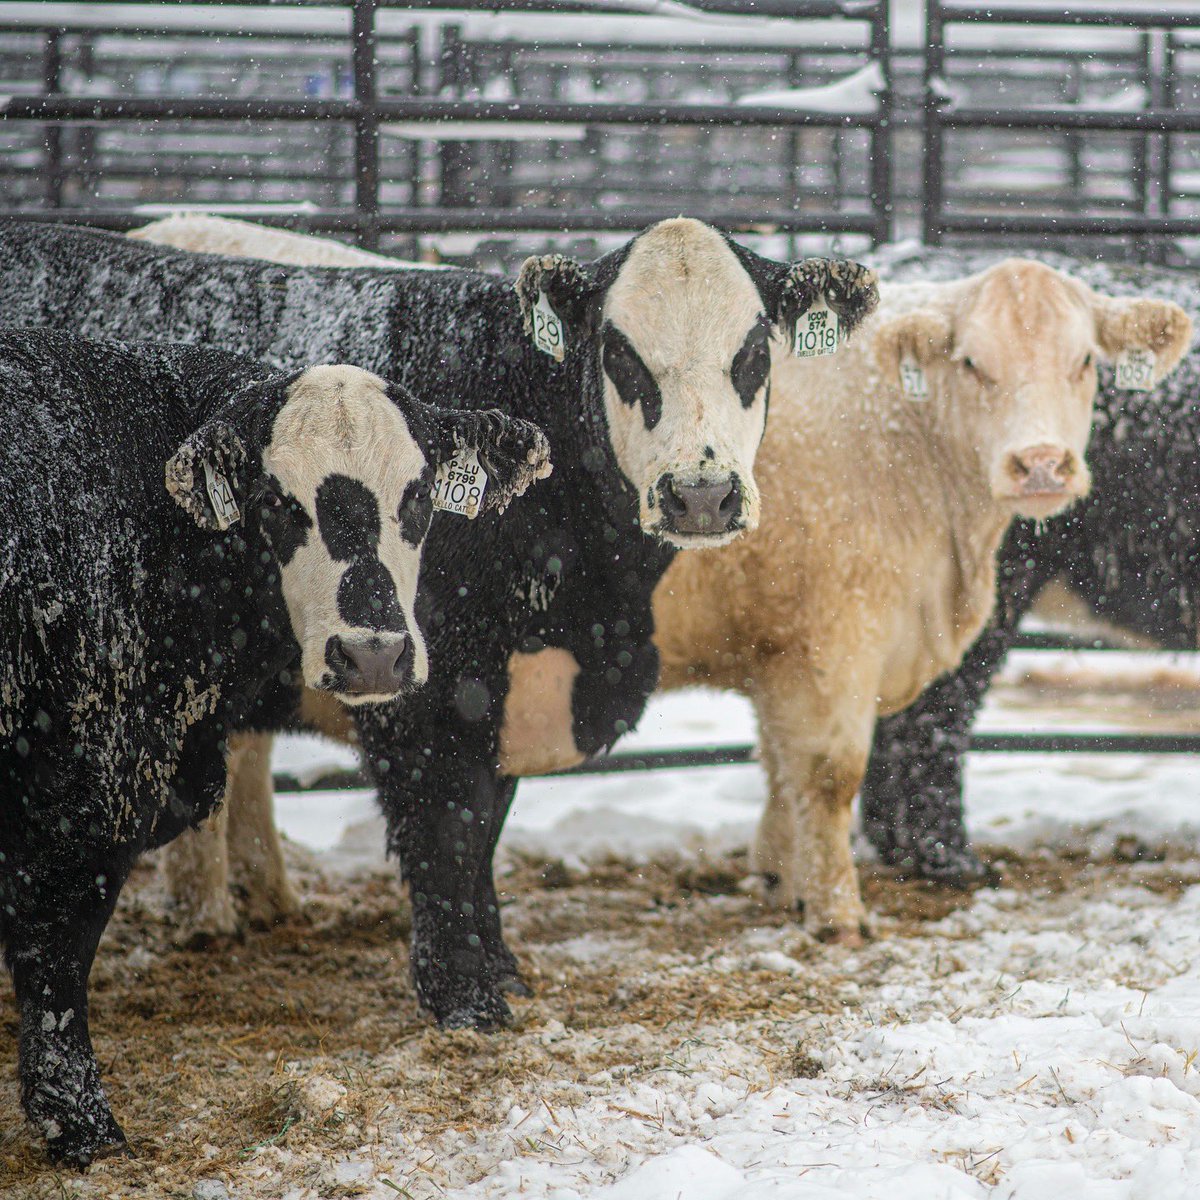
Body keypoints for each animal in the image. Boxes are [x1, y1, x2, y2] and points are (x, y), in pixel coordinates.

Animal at [0, 217, 879, 1029]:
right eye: (619, 352)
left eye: (754, 350)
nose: (700, 494)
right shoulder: (423, 684)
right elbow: (447, 831)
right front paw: (465, 998)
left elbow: (484, 825)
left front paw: (499, 969)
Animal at [0, 330, 550, 1165]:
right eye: (279, 504)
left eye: (419, 497)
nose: (374, 654)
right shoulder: (90, 787)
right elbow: (56, 953)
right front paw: (81, 1125)